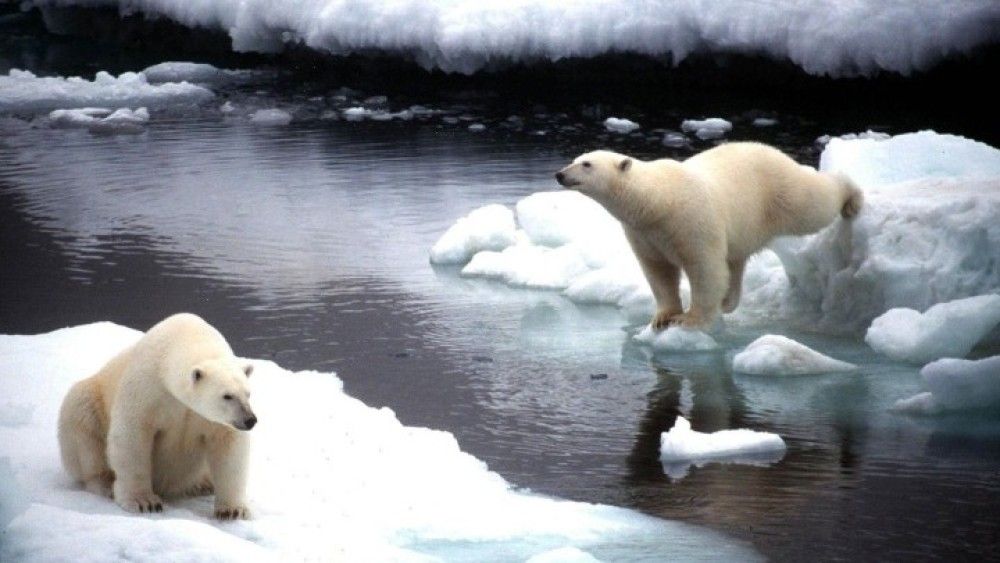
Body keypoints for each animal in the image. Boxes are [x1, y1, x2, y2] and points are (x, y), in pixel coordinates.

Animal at [57, 312, 258, 520]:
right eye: (227, 396)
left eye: (248, 394)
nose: (250, 420)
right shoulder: (147, 389)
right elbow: (132, 436)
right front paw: (144, 502)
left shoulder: (212, 419)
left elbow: (228, 446)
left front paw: (233, 510)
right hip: (89, 400)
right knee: (83, 427)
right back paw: (105, 484)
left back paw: (203, 483)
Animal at [552, 143, 864, 330]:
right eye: (575, 159)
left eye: (587, 164)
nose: (560, 174)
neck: (658, 200)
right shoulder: (644, 232)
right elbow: (658, 271)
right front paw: (662, 317)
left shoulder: (691, 220)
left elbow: (704, 267)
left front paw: (689, 319)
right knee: (736, 261)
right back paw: (728, 302)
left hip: (779, 192)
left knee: (813, 203)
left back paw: (852, 198)